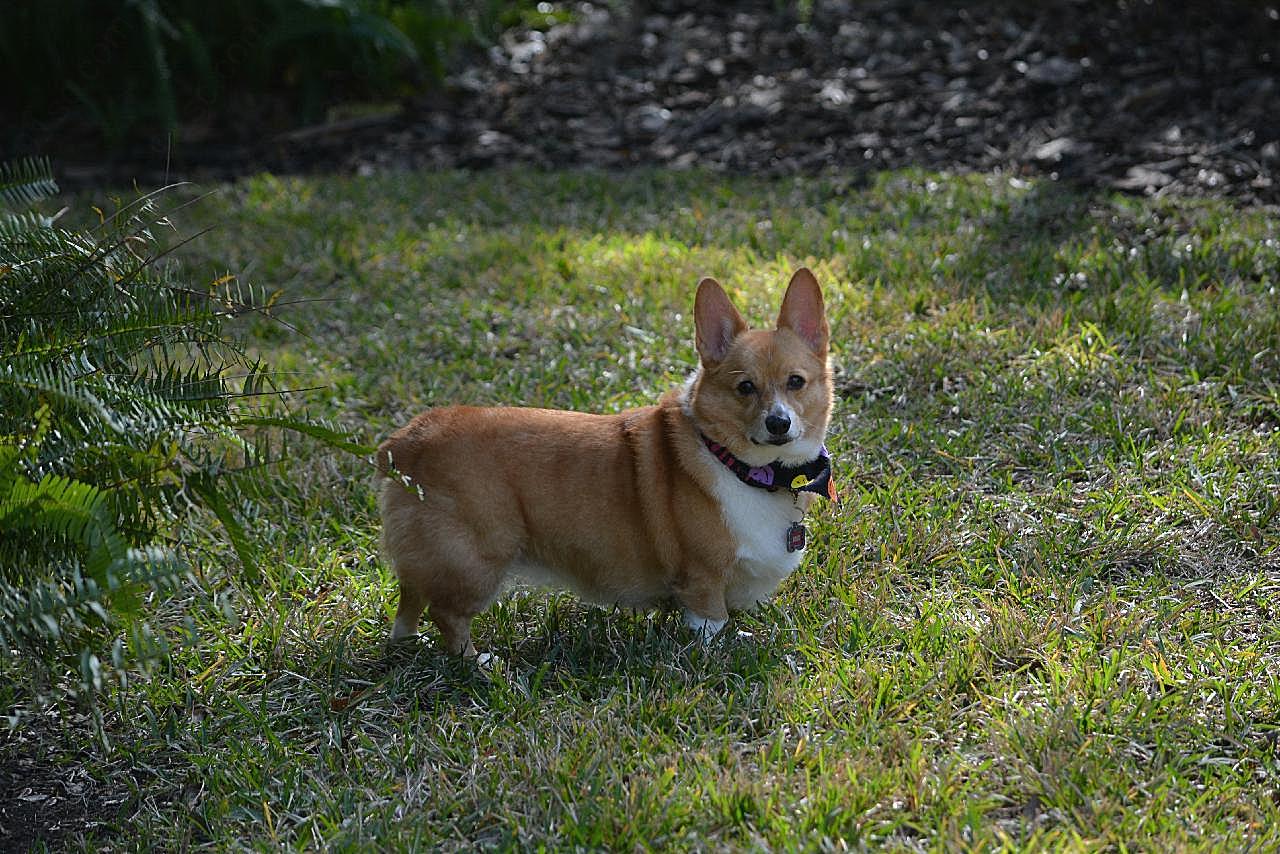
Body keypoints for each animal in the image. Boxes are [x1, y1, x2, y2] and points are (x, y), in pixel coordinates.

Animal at [376, 270, 839, 660]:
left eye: (796, 382)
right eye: (745, 387)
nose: (779, 423)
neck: (744, 467)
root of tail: (406, 441)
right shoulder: (702, 579)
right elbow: (711, 623)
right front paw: (718, 651)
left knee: (410, 598)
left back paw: (409, 642)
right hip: (475, 560)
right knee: (446, 614)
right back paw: (477, 661)